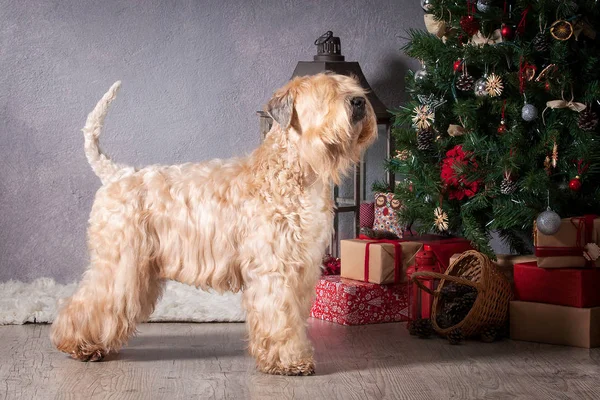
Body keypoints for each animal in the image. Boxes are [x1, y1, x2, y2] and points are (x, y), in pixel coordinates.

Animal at [54, 72, 378, 376]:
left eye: (352, 86)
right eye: (325, 92)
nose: (359, 102)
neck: (294, 172)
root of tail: (115, 174)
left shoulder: (302, 268)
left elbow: (294, 317)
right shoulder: (274, 268)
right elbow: (280, 317)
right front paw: (288, 362)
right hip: (119, 263)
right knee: (90, 301)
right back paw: (79, 345)